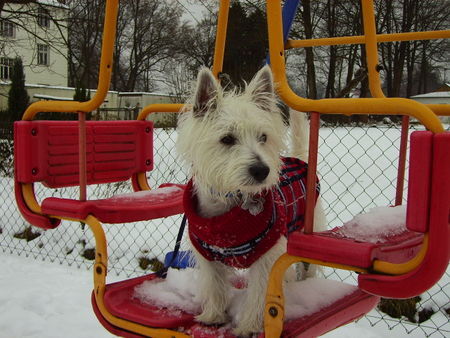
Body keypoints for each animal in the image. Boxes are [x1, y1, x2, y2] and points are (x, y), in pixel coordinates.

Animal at [176, 65, 326, 336]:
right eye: (227, 139)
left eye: (263, 137)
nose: (261, 171)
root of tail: (302, 160)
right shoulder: (208, 254)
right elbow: (215, 285)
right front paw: (213, 315)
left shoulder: (267, 254)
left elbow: (260, 293)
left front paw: (249, 326)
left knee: (306, 267)